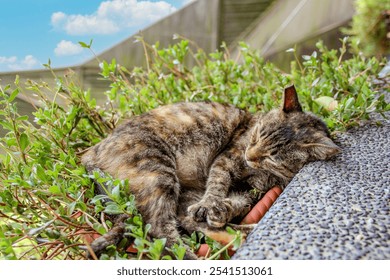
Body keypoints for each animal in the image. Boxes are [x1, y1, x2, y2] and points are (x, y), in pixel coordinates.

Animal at [82, 85, 342, 258]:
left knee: (186, 222)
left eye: (273, 157)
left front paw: (221, 211)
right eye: (258, 134)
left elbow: (238, 202)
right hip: (158, 173)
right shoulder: (226, 159)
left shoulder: (252, 188)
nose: (250, 155)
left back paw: (241, 233)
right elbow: (218, 184)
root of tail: (89, 152)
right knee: (160, 232)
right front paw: (213, 205)